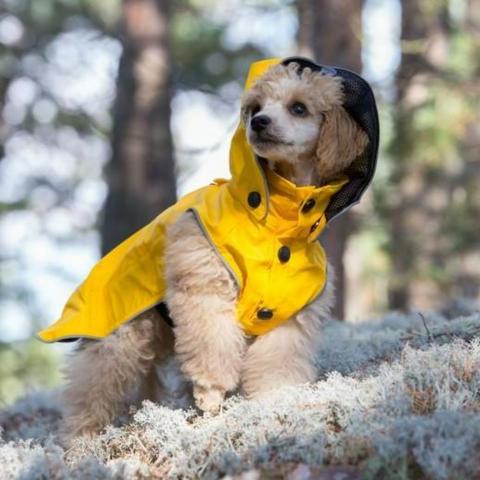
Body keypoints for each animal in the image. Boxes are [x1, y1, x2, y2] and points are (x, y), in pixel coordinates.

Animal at [48, 58, 370, 436]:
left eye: (299, 108)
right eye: (256, 108)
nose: (259, 123)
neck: (276, 225)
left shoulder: (288, 319)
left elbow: (276, 366)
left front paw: (275, 403)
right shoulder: (204, 286)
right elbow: (212, 345)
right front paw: (211, 393)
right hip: (122, 335)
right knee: (91, 387)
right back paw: (82, 436)